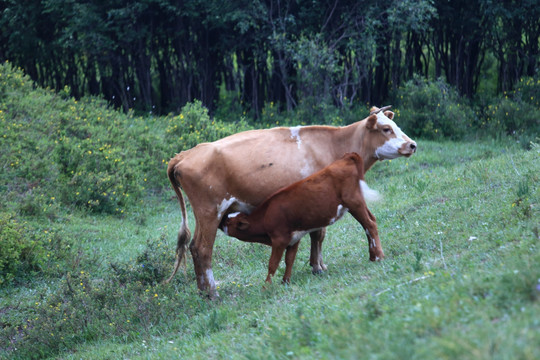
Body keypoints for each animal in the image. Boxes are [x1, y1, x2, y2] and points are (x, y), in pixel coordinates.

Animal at [221, 152, 382, 284]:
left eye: (229, 221)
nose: (221, 221)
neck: (267, 215)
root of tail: (347, 157)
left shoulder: (279, 240)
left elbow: (273, 263)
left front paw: (266, 286)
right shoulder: (294, 239)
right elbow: (289, 260)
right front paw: (285, 281)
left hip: (354, 202)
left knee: (370, 225)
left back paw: (379, 256)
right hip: (357, 204)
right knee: (370, 222)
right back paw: (372, 256)